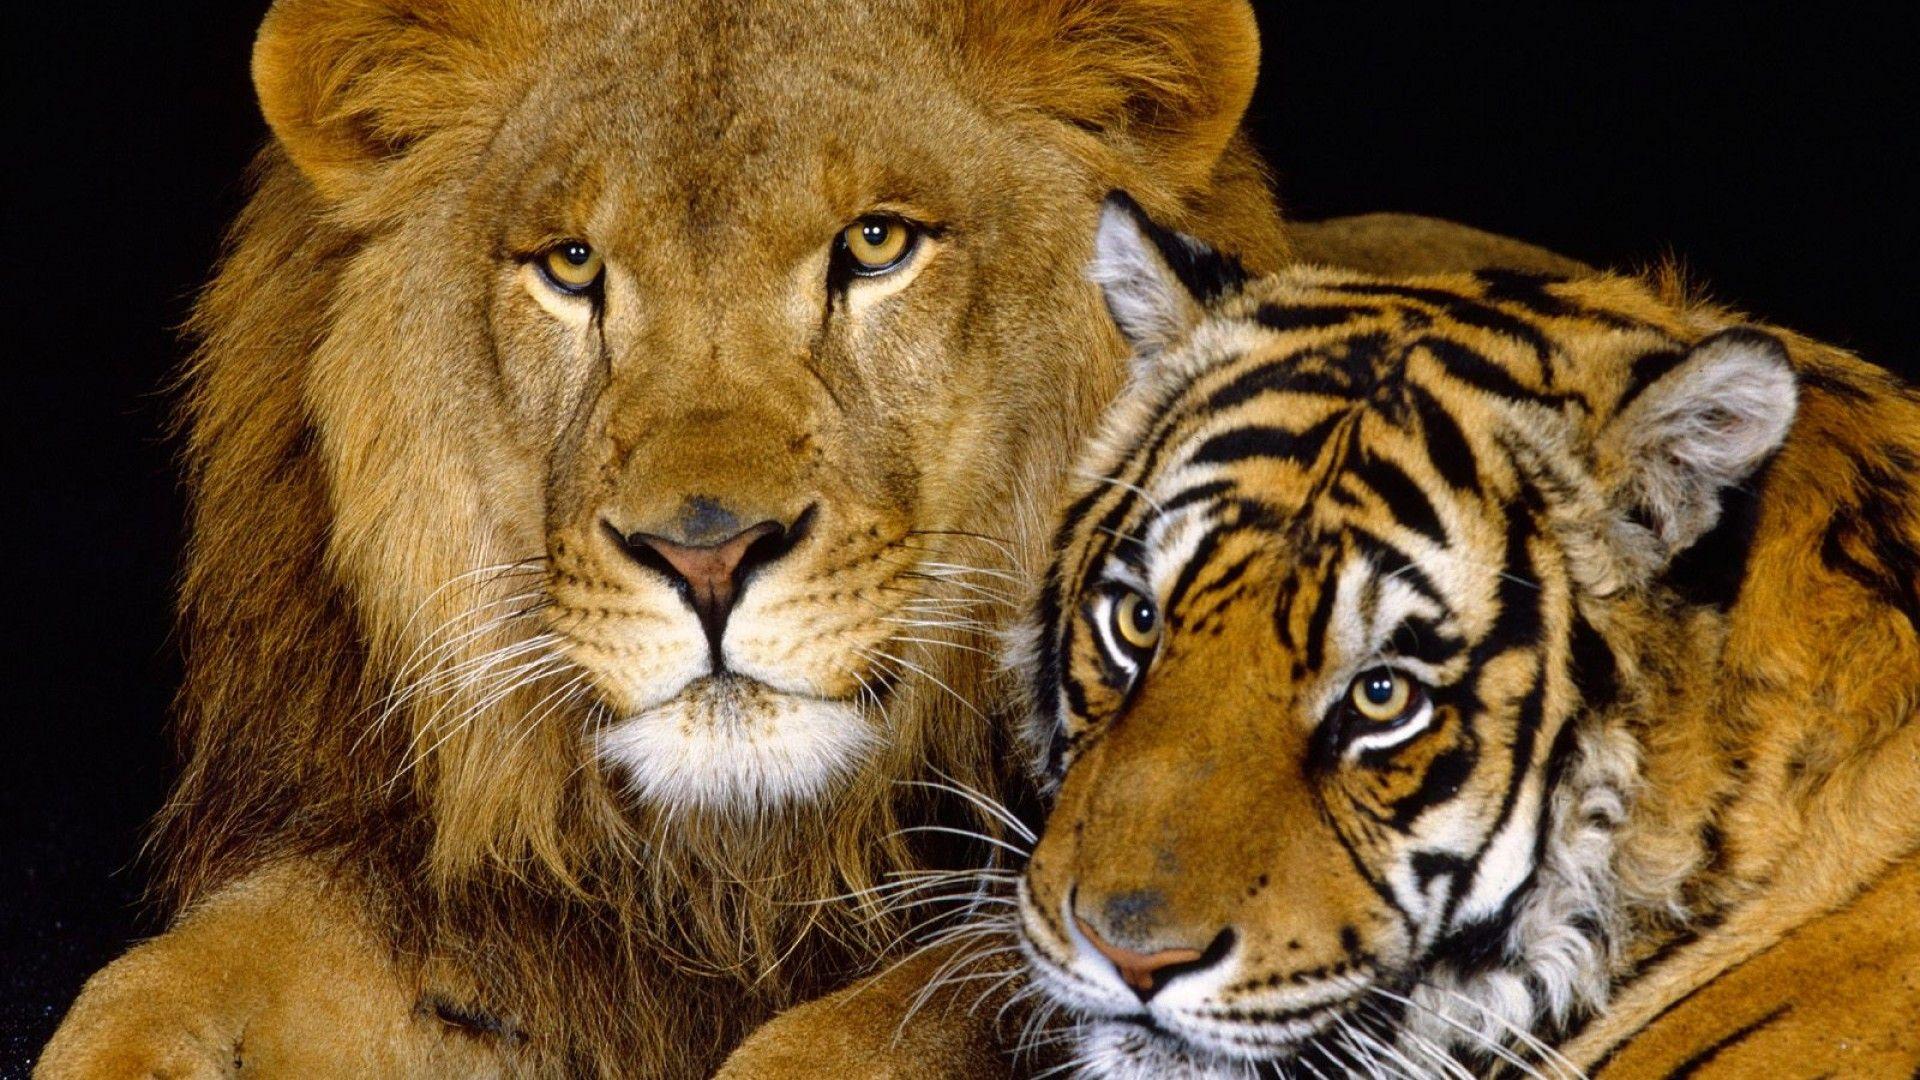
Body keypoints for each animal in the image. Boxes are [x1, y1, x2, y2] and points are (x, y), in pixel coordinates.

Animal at [37, 2, 1586, 1077]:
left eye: (878, 243)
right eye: (573, 266)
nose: (708, 556)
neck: (751, 863)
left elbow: (875, 1029)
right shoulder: (490, 906)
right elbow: (162, 983)